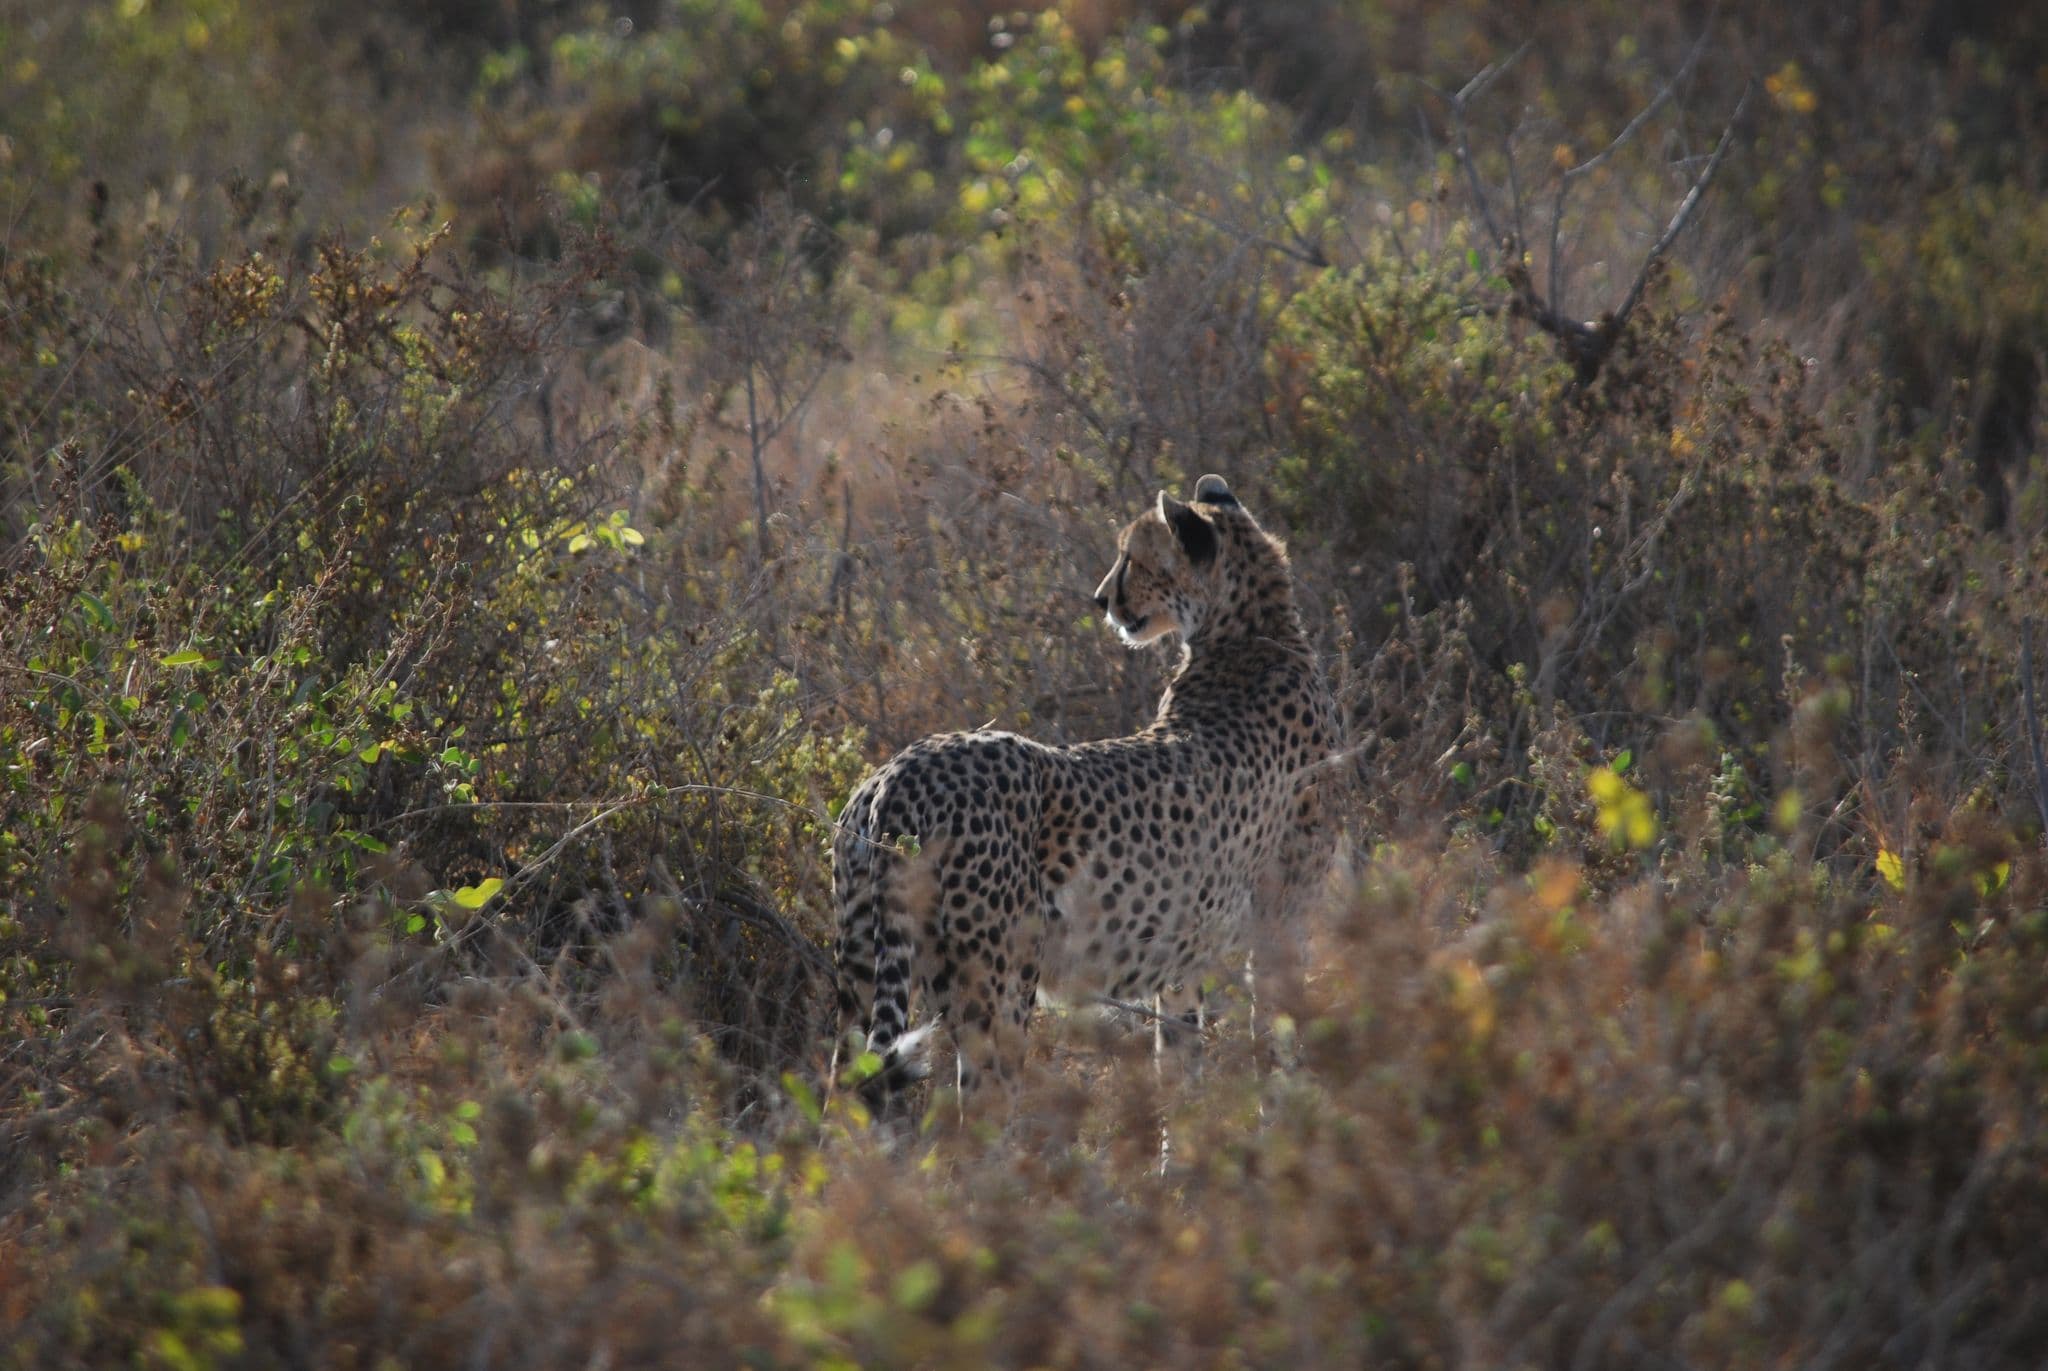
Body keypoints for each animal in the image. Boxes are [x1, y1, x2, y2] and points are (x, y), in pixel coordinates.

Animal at [829, 474, 1339, 1103]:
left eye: (1132, 558)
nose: (1100, 600)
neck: (1253, 636)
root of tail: (900, 770)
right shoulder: (1279, 925)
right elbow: (1275, 1040)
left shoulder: (1185, 952)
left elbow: (1181, 1057)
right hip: (1000, 982)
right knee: (980, 1105)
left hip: (860, 967)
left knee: (841, 1091)